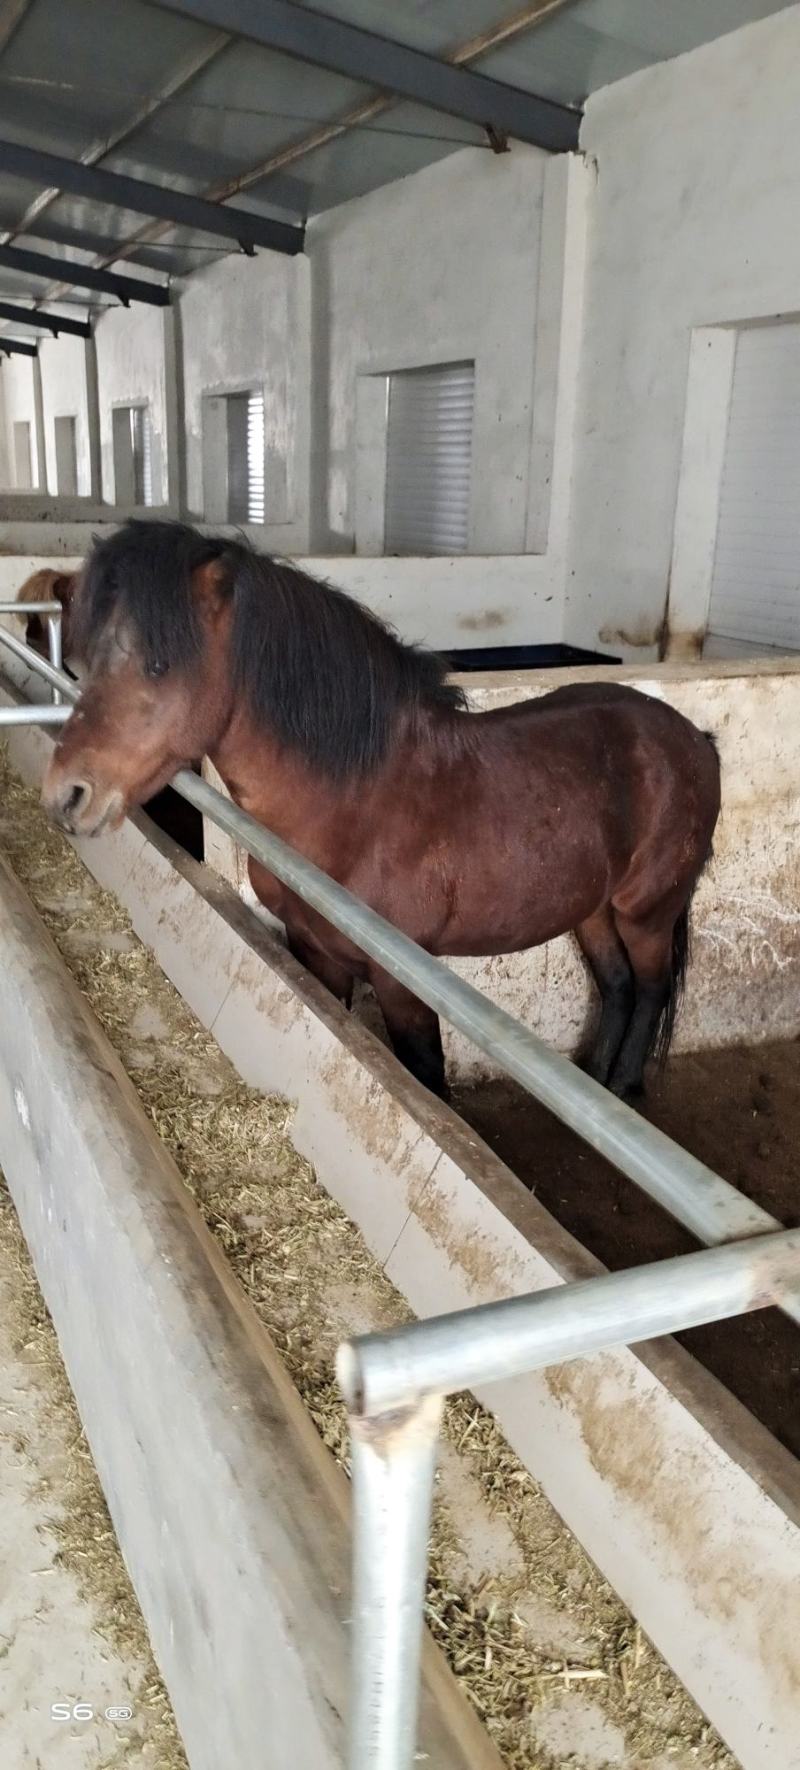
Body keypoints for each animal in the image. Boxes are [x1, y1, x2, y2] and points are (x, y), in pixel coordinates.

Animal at [41, 520, 721, 1101]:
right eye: (81, 662)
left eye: (157, 665)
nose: (65, 796)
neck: (356, 808)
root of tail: (695, 739)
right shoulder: (316, 954)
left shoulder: (403, 986)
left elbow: (427, 1080)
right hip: (594, 912)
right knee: (618, 987)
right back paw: (594, 1079)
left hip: (646, 913)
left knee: (650, 988)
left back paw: (621, 1088)